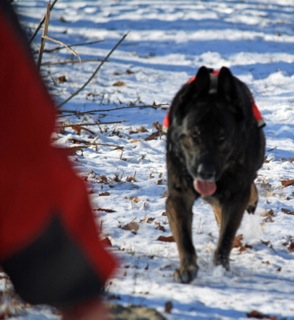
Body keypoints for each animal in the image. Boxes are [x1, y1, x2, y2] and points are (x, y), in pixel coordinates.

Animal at [165, 65, 266, 282]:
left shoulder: (236, 196)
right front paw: (187, 267)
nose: (206, 172)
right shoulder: (179, 195)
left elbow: (226, 236)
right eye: (195, 135)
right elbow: (184, 237)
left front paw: (221, 267)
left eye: (222, 138)